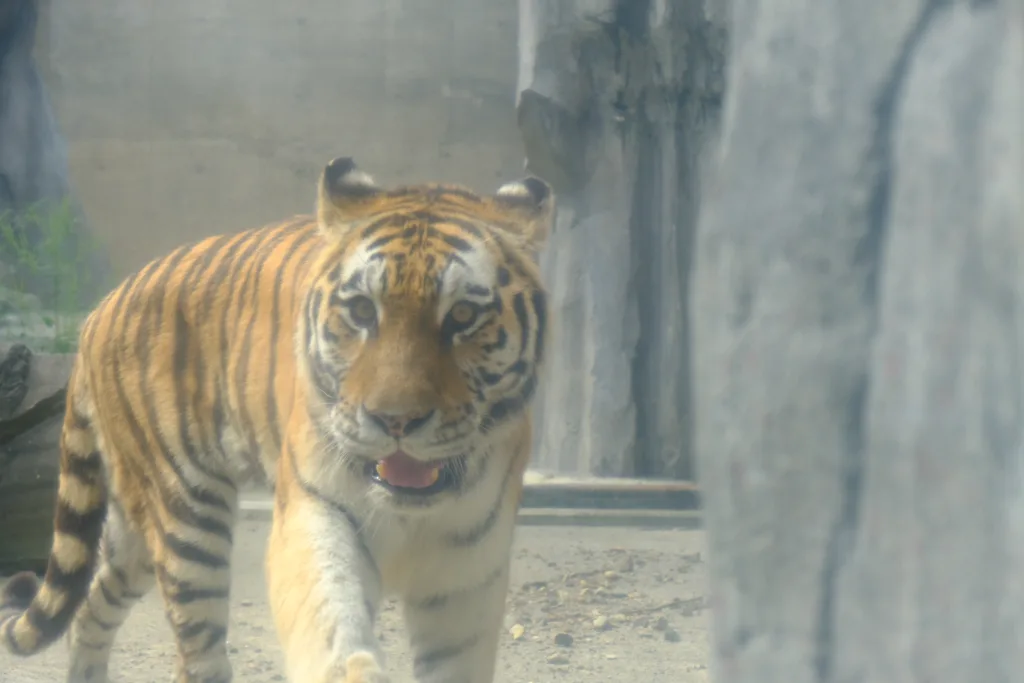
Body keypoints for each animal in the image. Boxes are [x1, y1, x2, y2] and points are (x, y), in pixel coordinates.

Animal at [0, 157, 552, 683]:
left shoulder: (466, 572)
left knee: (91, 609)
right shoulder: (314, 515)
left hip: (133, 532)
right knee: (196, 654)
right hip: (185, 511)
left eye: (462, 316)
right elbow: (330, 629)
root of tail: (99, 309)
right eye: (361, 311)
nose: (394, 421)